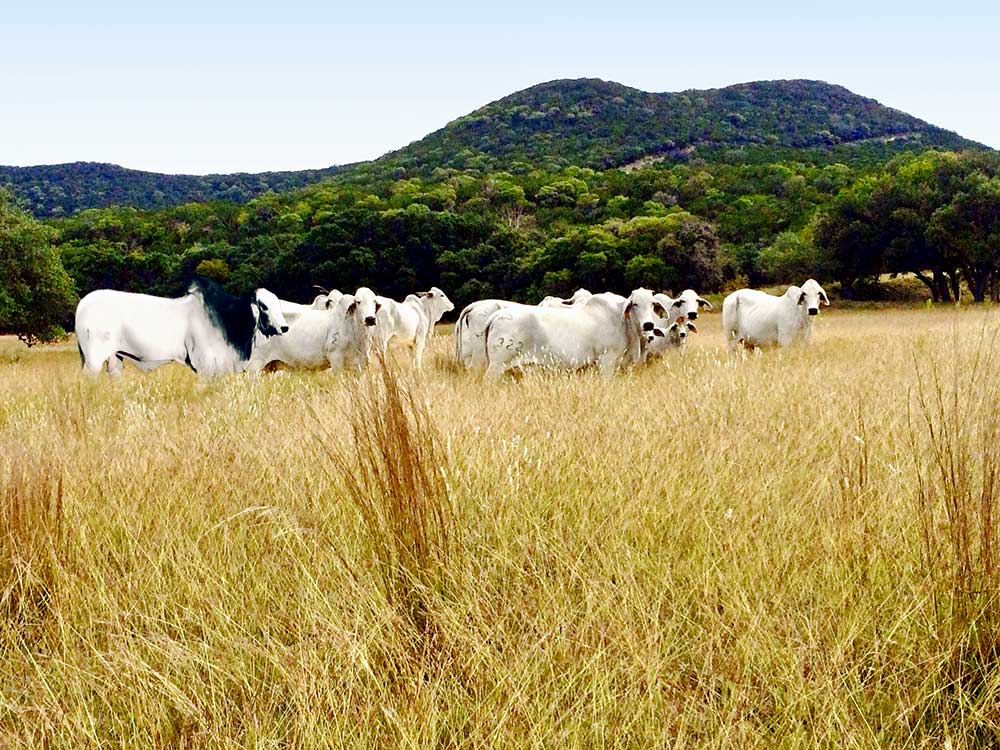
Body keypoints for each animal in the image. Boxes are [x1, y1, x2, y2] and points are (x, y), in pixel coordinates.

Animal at [75, 280, 288, 378]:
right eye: (264, 306)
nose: (284, 327)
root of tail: (83, 304)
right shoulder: (204, 365)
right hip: (93, 360)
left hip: (115, 359)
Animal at [480, 290, 660, 382]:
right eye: (635, 304)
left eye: (652, 304)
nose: (648, 325)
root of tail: (497, 315)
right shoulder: (607, 360)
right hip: (497, 364)